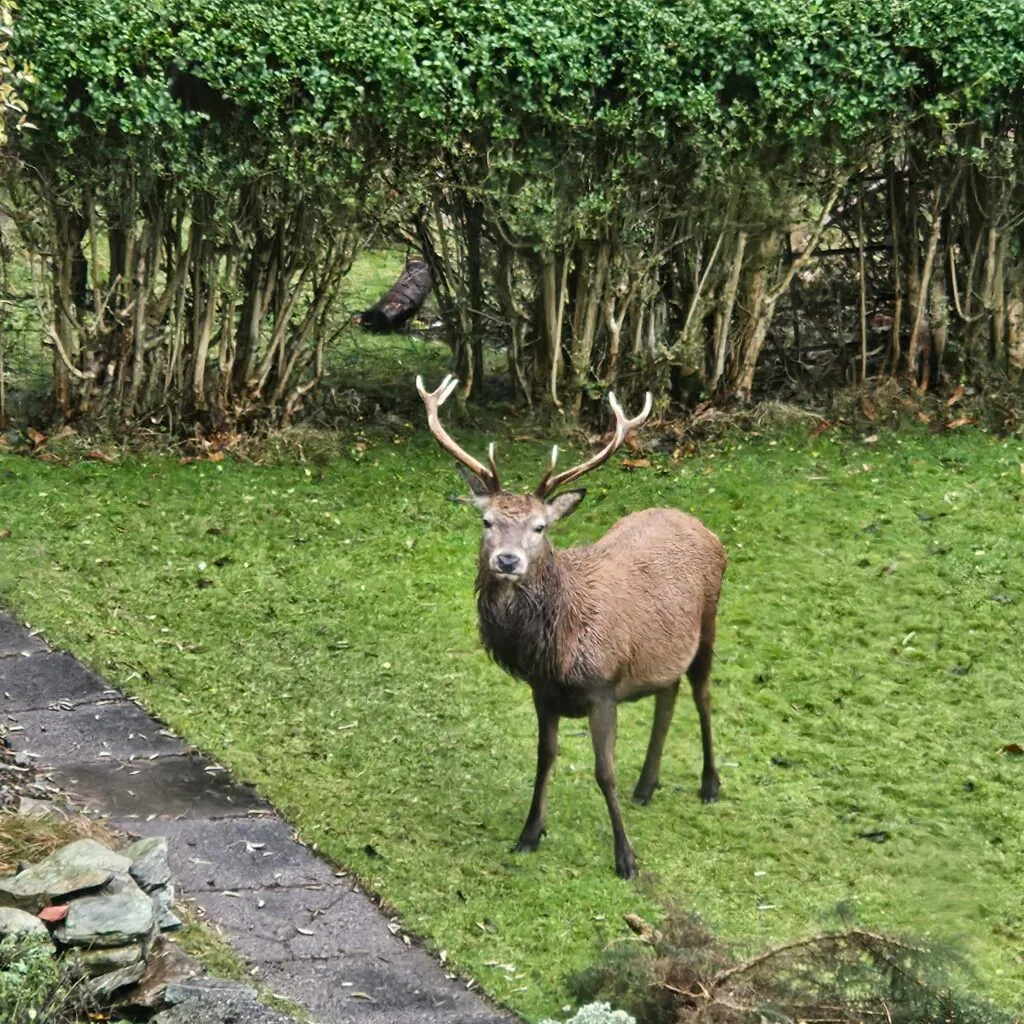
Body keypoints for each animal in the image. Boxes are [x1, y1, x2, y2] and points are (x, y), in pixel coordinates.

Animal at [417, 375, 727, 878]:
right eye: (486, 521)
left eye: (540, 528)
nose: (507, 561)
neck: (555, 650)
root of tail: (703, 527)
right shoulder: (542, 693)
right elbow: (545, 760)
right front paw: (529, 834)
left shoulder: (603, 689)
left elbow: (605, 772)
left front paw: (626, 858)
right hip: (664, 649)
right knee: (668, 692)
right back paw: (647, 786)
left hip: (710, 619)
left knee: (701, 695)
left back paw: (710, 784)